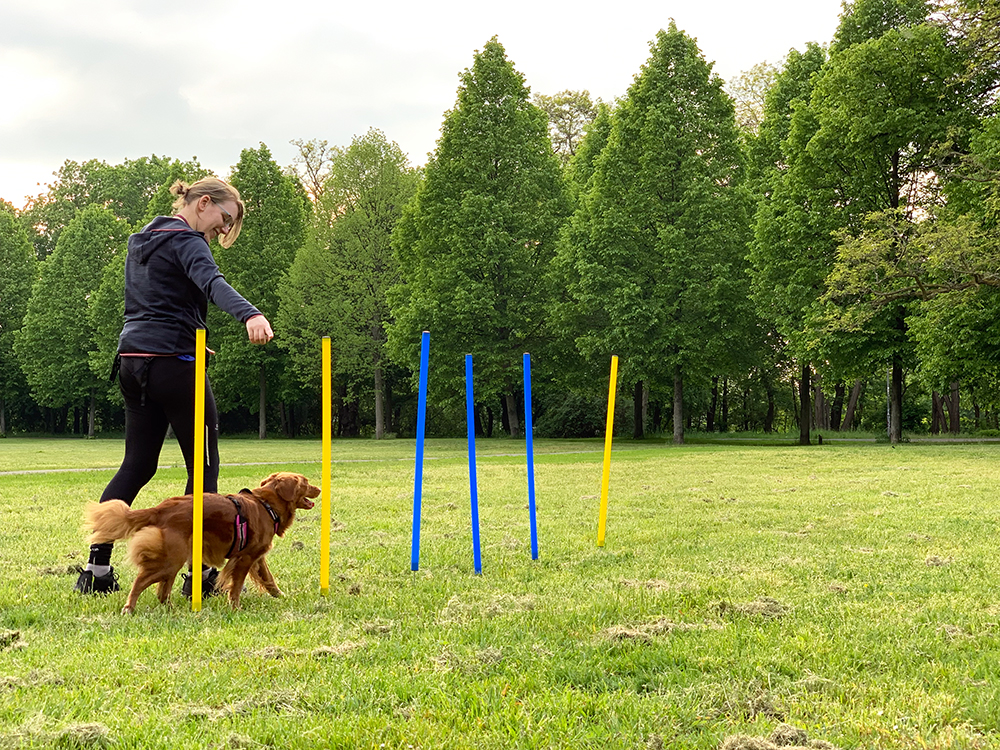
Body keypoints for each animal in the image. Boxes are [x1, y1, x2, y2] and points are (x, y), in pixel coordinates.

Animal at [87, 476, 320, 616]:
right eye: (306, 482)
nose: (319, 488)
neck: (266, 504)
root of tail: (161, 508)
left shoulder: (257, 557)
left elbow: (269, 579)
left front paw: (280, 596)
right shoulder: (244, 558)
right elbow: (236, 586)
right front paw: (235, 607)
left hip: (173, 562)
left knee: (162, 591)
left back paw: (171, 609)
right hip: (171, 560)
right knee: (140, 581)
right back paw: (129, 608)